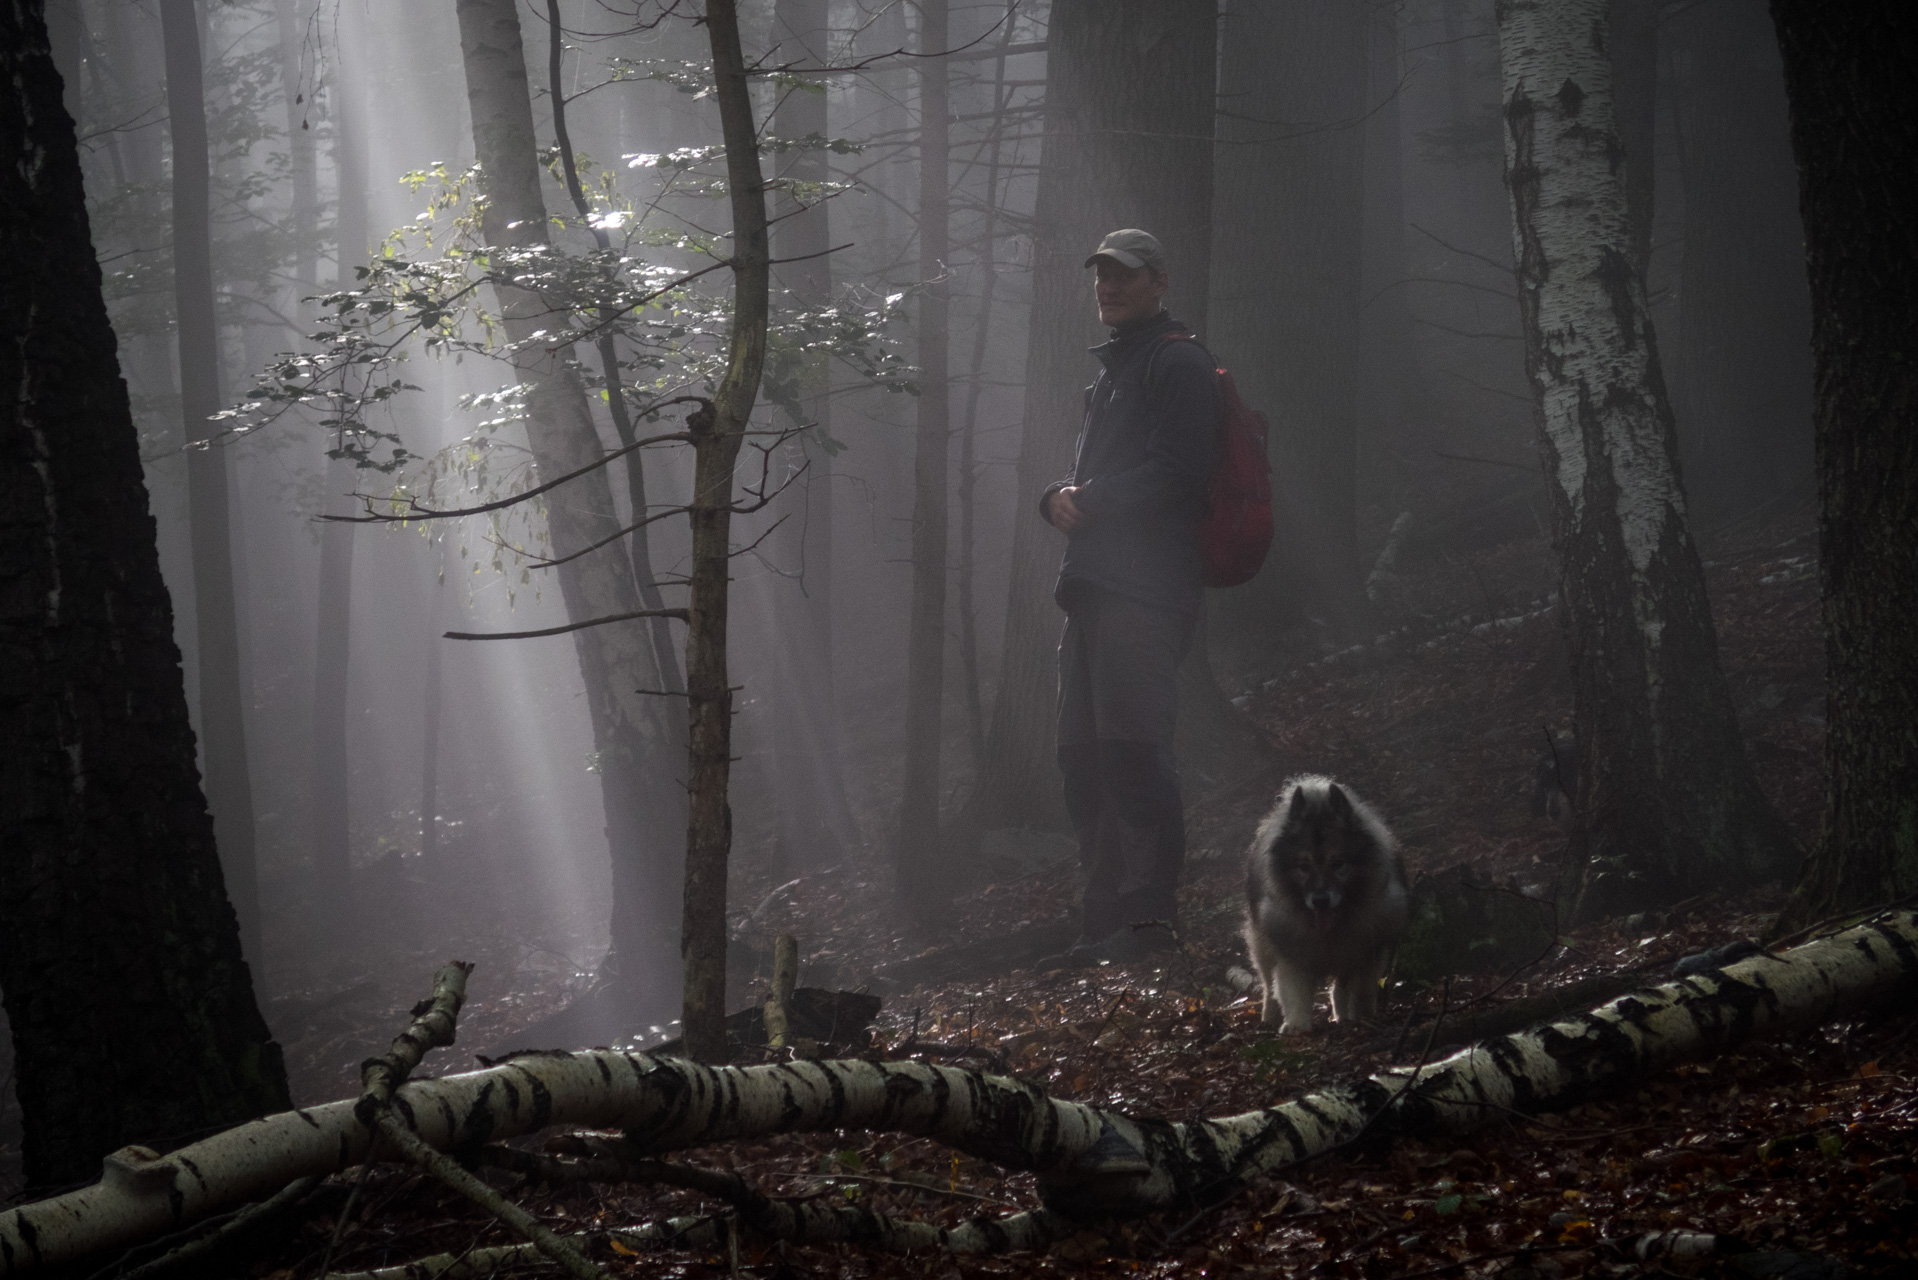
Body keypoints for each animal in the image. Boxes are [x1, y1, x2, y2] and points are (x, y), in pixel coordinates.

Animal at [1242, 775, 1411, 1036]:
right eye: (1303, 866)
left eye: (1338, 863)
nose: (1320, 900)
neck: (1331, 930)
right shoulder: (1293, 953)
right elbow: (1293, 992)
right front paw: (1296, 1026)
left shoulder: (1366, 951)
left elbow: (1361, 989)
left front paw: (1362, 1017)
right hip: (1264, 946)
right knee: (1268, 986)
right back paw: (1269, 1017)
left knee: (1340, 988)